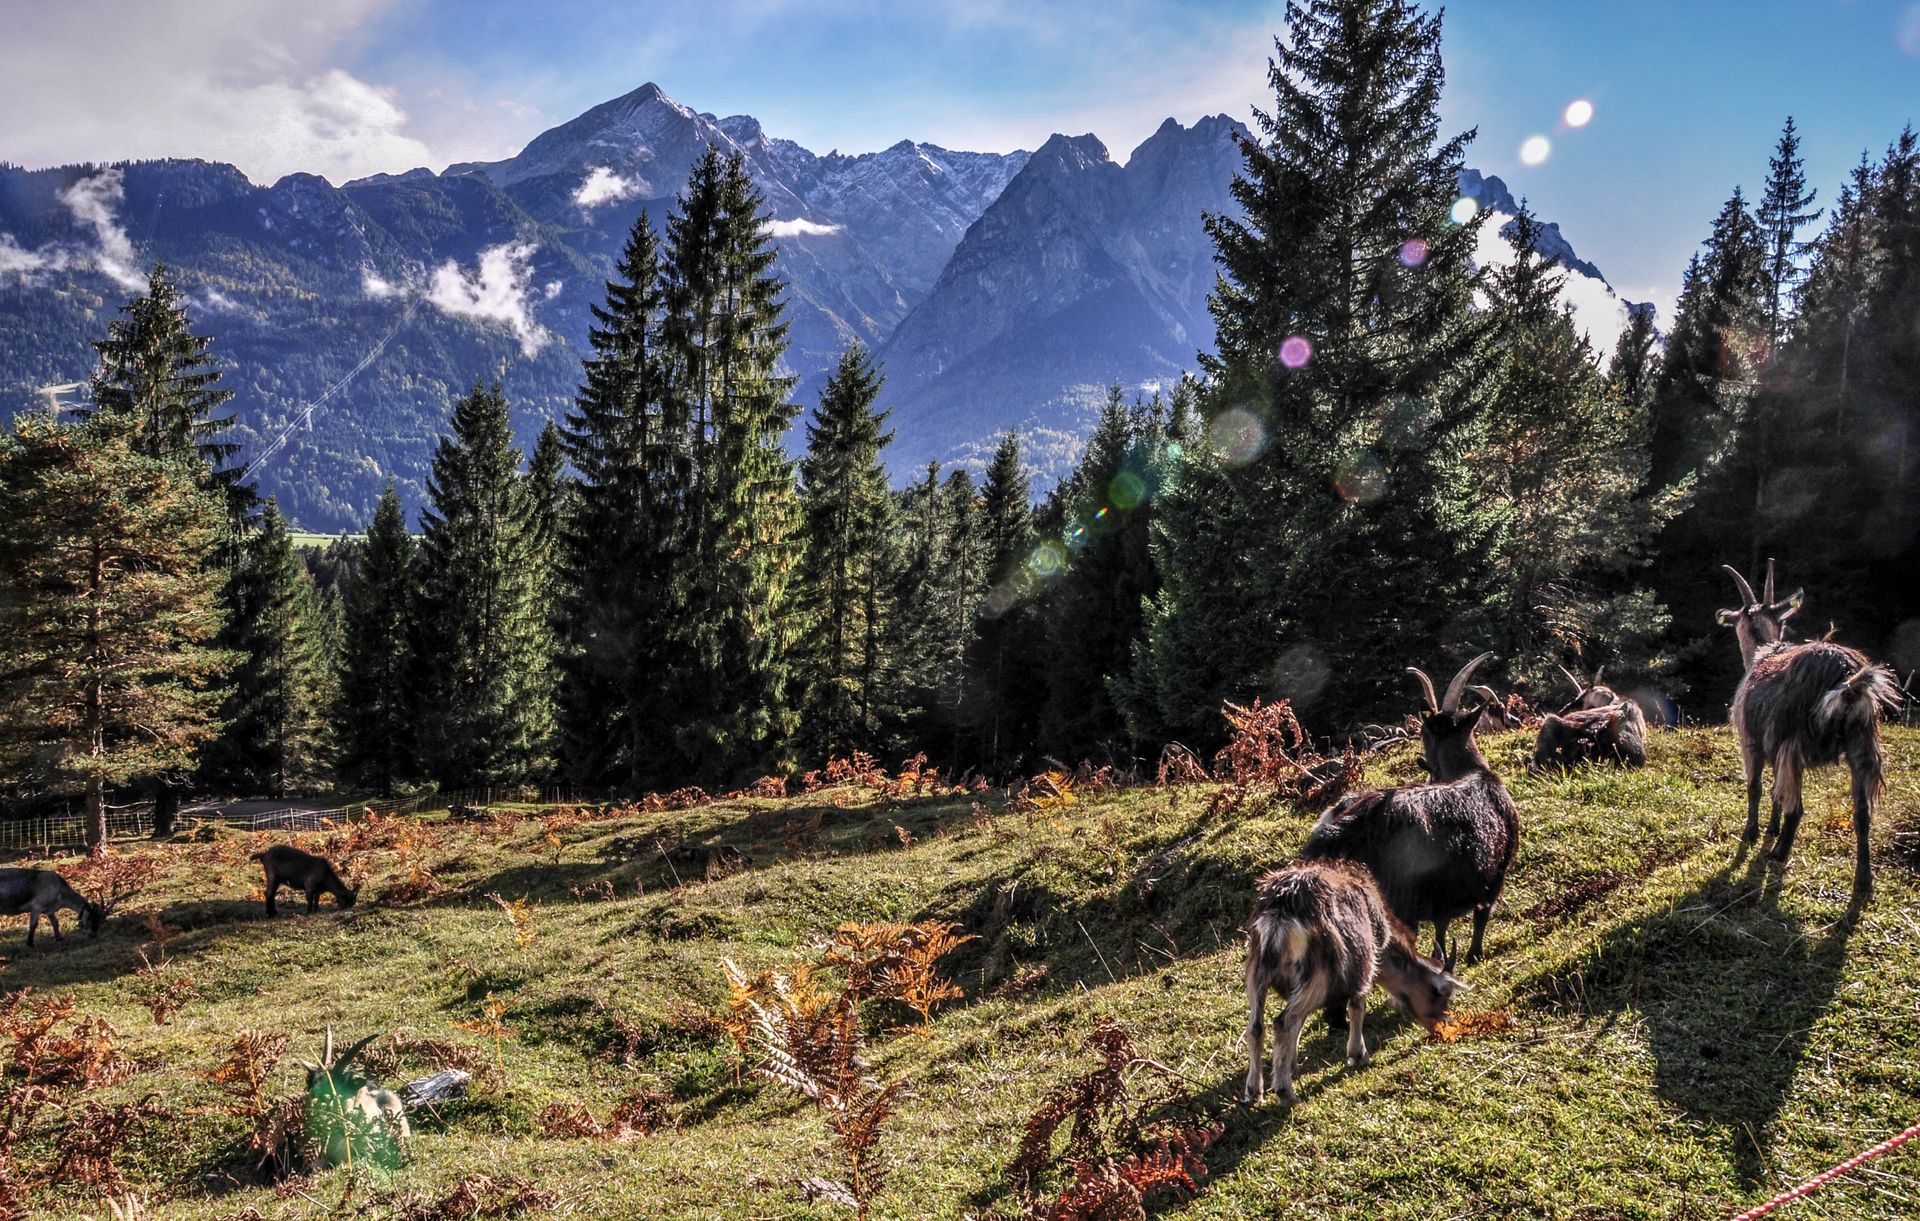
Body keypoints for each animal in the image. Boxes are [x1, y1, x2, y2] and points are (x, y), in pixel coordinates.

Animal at [1243, 858, 1465, 1104]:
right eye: (1439, 992)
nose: (1441, 1028)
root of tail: (1279, 916)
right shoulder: (1362, 969)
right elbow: (1358, 1006)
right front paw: (1359, 1055)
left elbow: (1299, 1026)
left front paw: (1293, 1066)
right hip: (1318, 977)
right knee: (1282, 1023)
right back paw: (1286, 1093)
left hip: (1256, 971)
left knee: (1257, 1027)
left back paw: (1254, 1091)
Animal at [1718, 560, 1900, 898]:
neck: (1765, 651)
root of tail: (1846, 678)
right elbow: (1776, 792)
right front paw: (1771, 829)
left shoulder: (1752, 741)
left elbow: (1756, 787)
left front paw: (1752, 833)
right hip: (1862, 741)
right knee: (1862, 812)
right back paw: (1863, 882)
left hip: (1794, 742)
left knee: (1798, 808)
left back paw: (1780, 853)